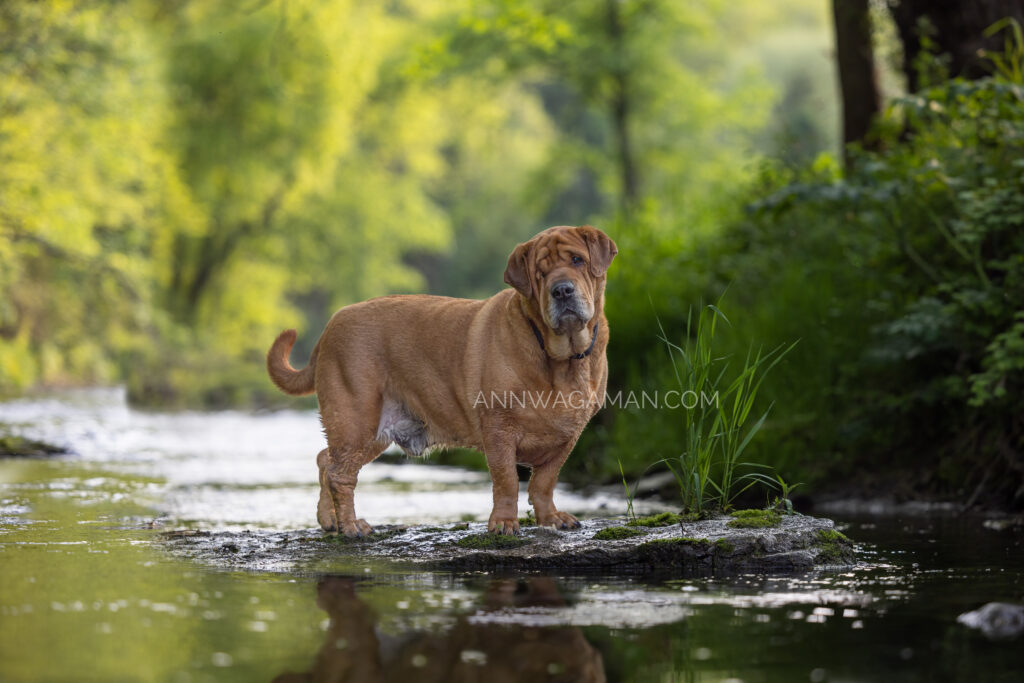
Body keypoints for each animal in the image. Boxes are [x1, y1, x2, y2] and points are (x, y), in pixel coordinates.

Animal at [266, 227, 614, 536]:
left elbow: (544, 482)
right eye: (540, 274)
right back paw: (351, 527)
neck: (561, 359)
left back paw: (330, 521)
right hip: (356, 420)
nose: (562, 290)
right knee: (341, 475)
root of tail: (329, 327)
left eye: (578, 260)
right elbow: (507, 482)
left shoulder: (567, 437)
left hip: (374, 432)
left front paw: (550, 518)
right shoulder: (499, 430)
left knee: (327, 460)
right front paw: (504, 523)